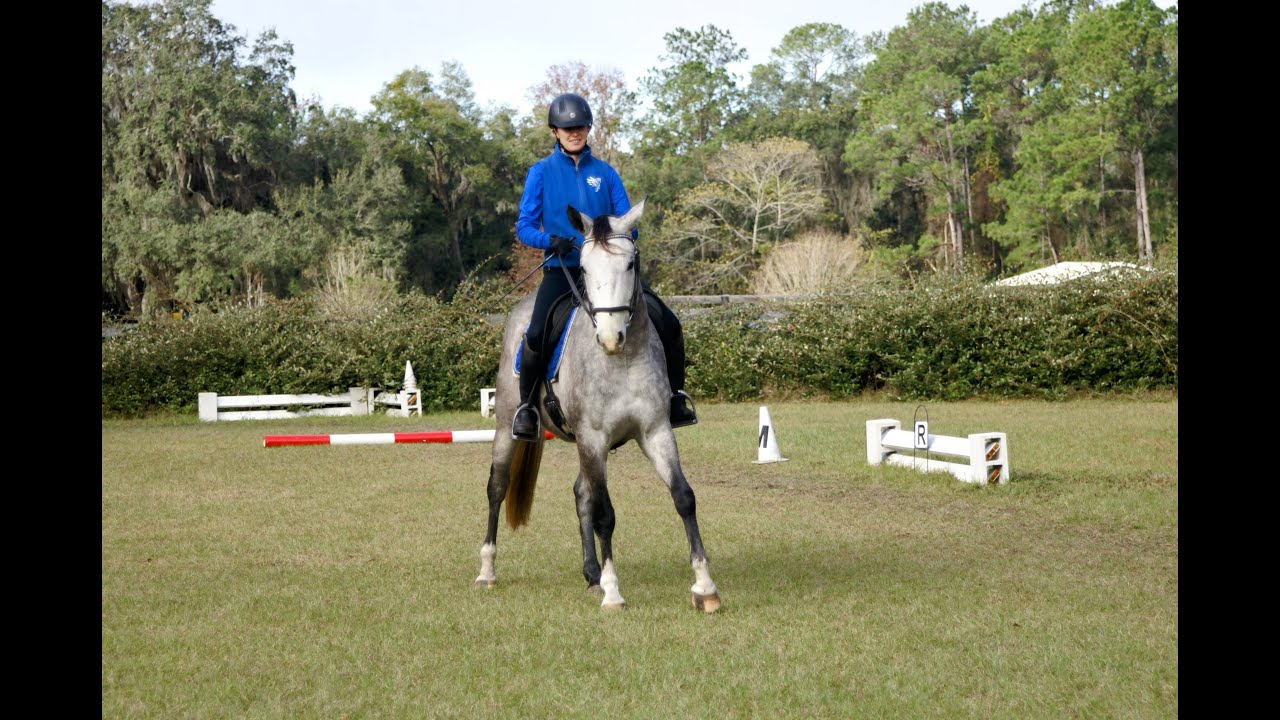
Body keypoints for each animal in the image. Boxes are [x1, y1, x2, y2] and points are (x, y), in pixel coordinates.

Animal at [474, 199, 721, 613]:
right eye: (585, 267)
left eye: (631, 264)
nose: (609, 337)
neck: (622, 360)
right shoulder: (593, 437)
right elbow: (606, 514)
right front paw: (613, 592)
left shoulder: (655, 431)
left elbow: (684, 497)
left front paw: (705, 587)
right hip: (510, 426)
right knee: (498, 487)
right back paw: (487, 571)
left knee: (581, 494)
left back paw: (591, 573)